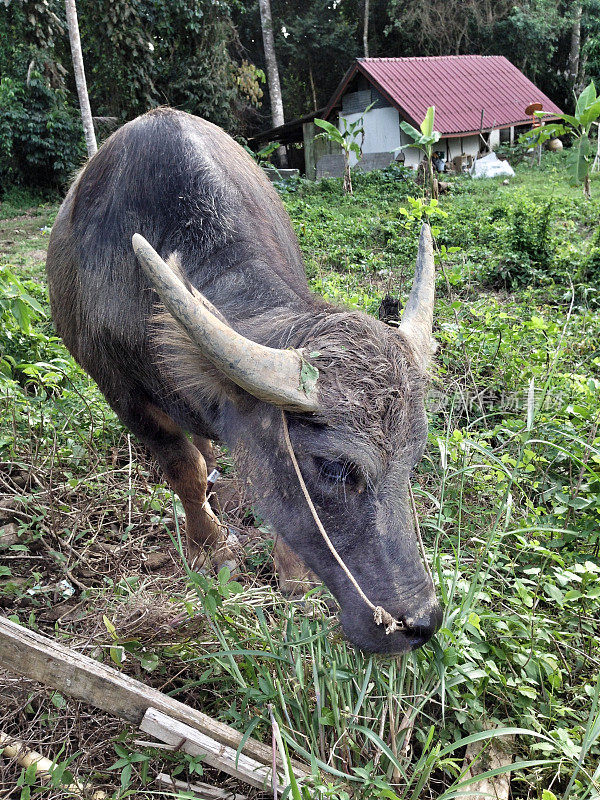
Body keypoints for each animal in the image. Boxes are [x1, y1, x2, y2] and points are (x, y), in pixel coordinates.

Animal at [45, 106, 440, 652]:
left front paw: (293, 576)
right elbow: (183, 469)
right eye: (334, 468)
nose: (421, 622)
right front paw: (211, 545)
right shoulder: (122, 394)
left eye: (415, 456)